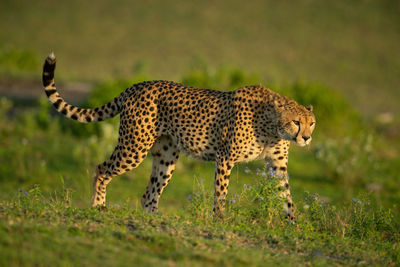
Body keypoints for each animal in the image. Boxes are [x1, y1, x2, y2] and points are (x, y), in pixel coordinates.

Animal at [40, 53, 316, 221]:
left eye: (311, 123)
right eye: (296, 122)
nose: (306, 138)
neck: (273, 126)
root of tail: (139, 84)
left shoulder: (277, 164)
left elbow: (286, 195)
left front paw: (293, 224)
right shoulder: (225, 157)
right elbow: (221, 192)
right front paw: (220, 220)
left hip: (166, 157)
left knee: (149, 194)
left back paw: (152, 220)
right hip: (134, 146)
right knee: (101, 168)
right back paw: (98, 206)